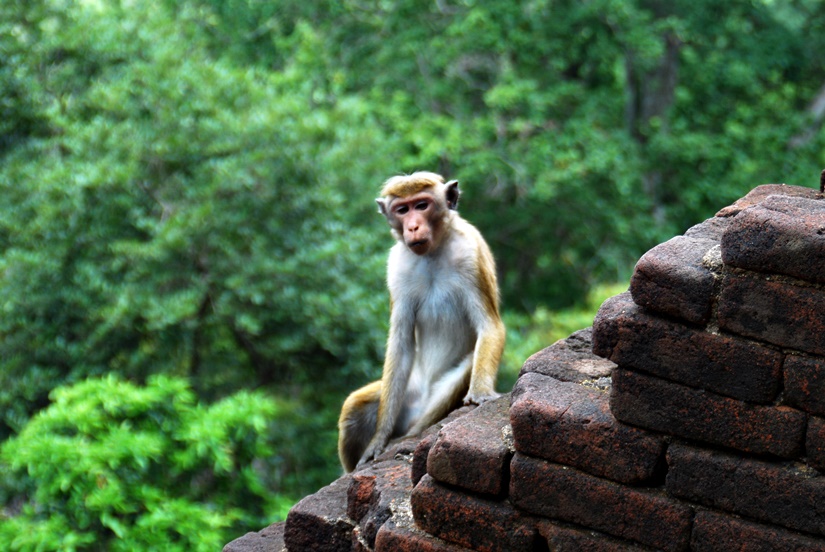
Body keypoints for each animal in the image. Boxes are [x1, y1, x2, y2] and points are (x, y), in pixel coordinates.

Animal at [334, 171, 502, 470]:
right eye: (403, 210)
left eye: (422, 205)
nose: (412, 227)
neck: (433, 253)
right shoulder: (396, 267)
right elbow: (400, 343)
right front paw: (378, 439)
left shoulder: (472, 252)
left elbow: (489, 325)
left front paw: (481, 393)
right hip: (406, 392)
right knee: (355, 404)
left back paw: (412, 436)